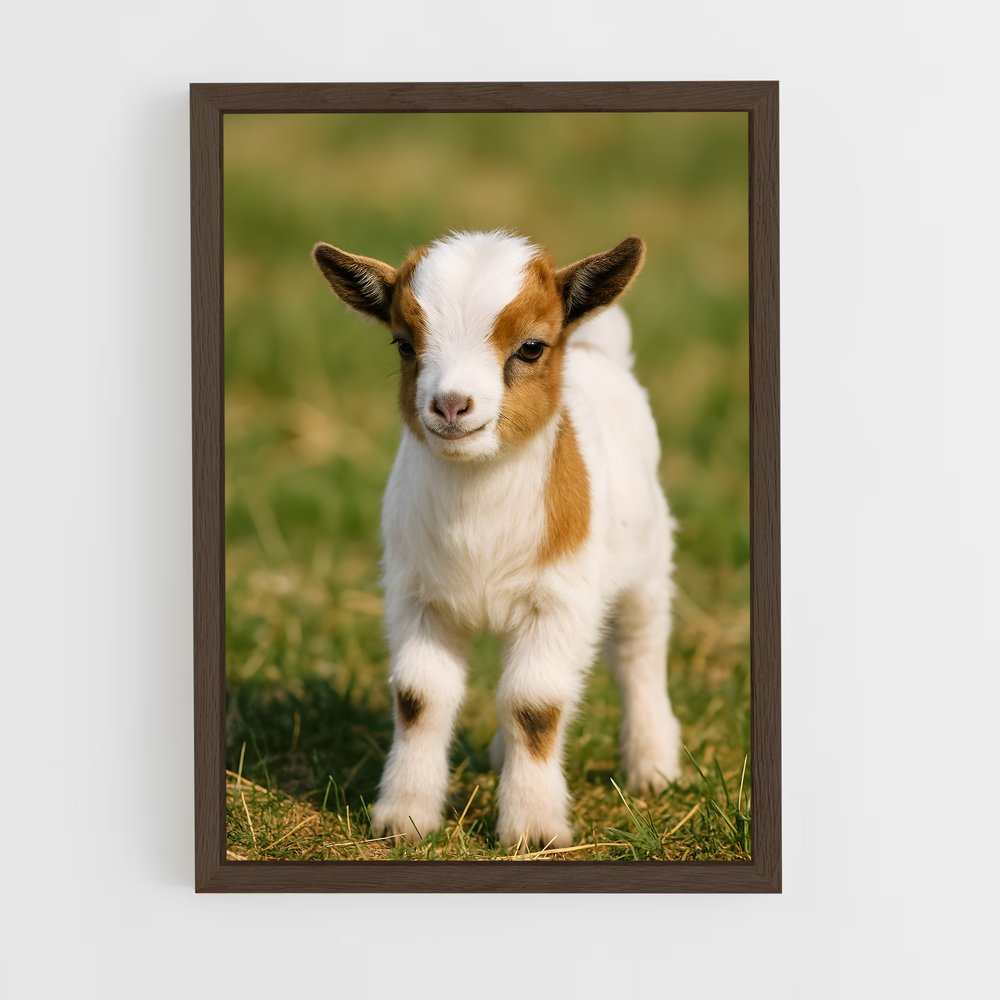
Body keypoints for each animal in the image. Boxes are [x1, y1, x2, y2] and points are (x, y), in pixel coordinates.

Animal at [313, 230, 681, 848]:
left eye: (531, 347)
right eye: (403, 344)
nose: (451, 405)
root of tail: (599, 350)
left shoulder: (559, 599)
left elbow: (537, 705)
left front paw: (533, 829)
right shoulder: (418, 595)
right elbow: (420, 698)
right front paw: (405, 818)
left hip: (647, 559)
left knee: (639, 649)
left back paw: (654, 766)